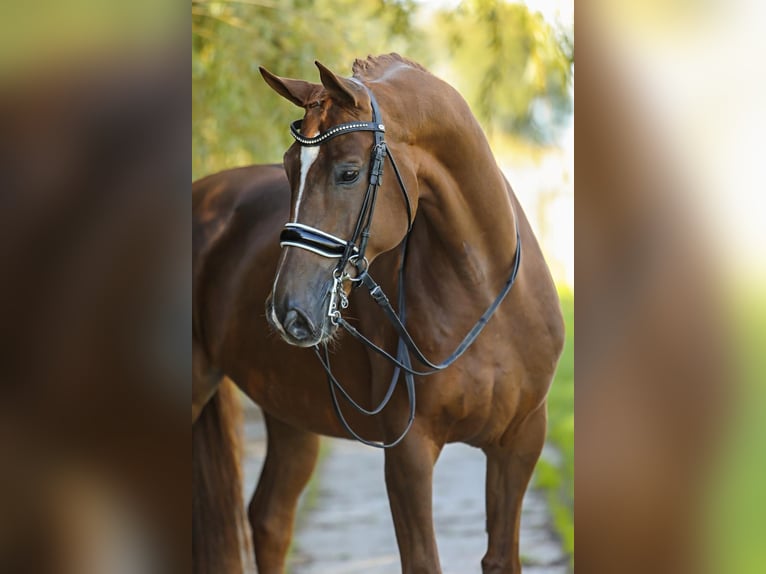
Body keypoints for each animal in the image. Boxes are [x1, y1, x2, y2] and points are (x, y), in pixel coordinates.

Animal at [192, 55, 564, 574]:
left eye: (349, 173)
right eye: (288, 168)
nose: (288, 310)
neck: (481, 288)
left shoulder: (522, 442)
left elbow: (501, 558)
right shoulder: (408, 452)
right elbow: (423, 561)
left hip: (289, 414)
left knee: (270, 519)